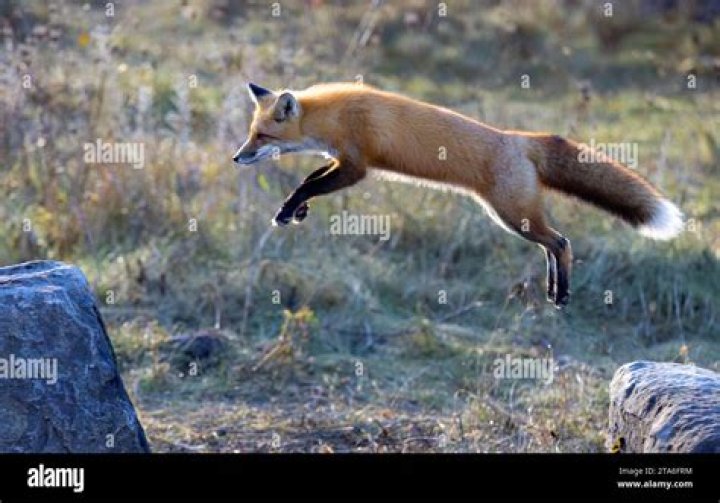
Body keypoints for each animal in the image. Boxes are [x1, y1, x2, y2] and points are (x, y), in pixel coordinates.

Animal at [233, 82, 683, 307]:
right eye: (251, 133)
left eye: (262, 136)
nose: (237, 157)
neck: (334, 116)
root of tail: (519, 138)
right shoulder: (341, 161)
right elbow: (311, 177)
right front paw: (297, 211)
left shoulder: (357, 166)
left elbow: (308, 182)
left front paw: (289, 209)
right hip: (514, 219)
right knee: (553, 244)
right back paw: (553, 288)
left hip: (512, 216)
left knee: (562, 242)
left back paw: (563, 293)